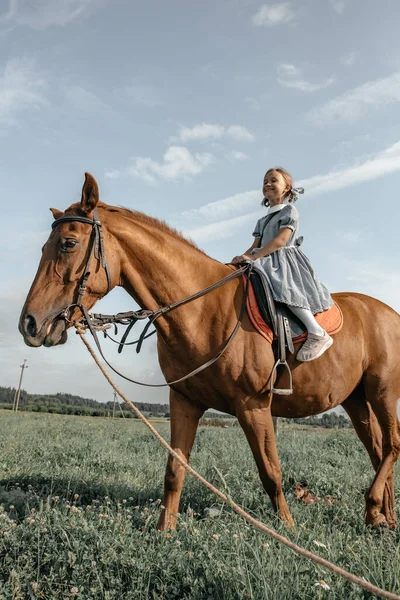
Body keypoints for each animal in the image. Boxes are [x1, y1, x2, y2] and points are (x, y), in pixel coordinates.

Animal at [18, 172, 400, 528]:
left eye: (68, 243)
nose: (29, 324)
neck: (202, 310)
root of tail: (389, 313)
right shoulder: (184, 401)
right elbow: (175, 470)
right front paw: (165, 531)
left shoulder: (254, 405)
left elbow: (271, 472)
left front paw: (289, 530)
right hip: (355, 399)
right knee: (377, 451)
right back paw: (382, 518)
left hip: (382, 392)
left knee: (391, 446)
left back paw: (373, 506)